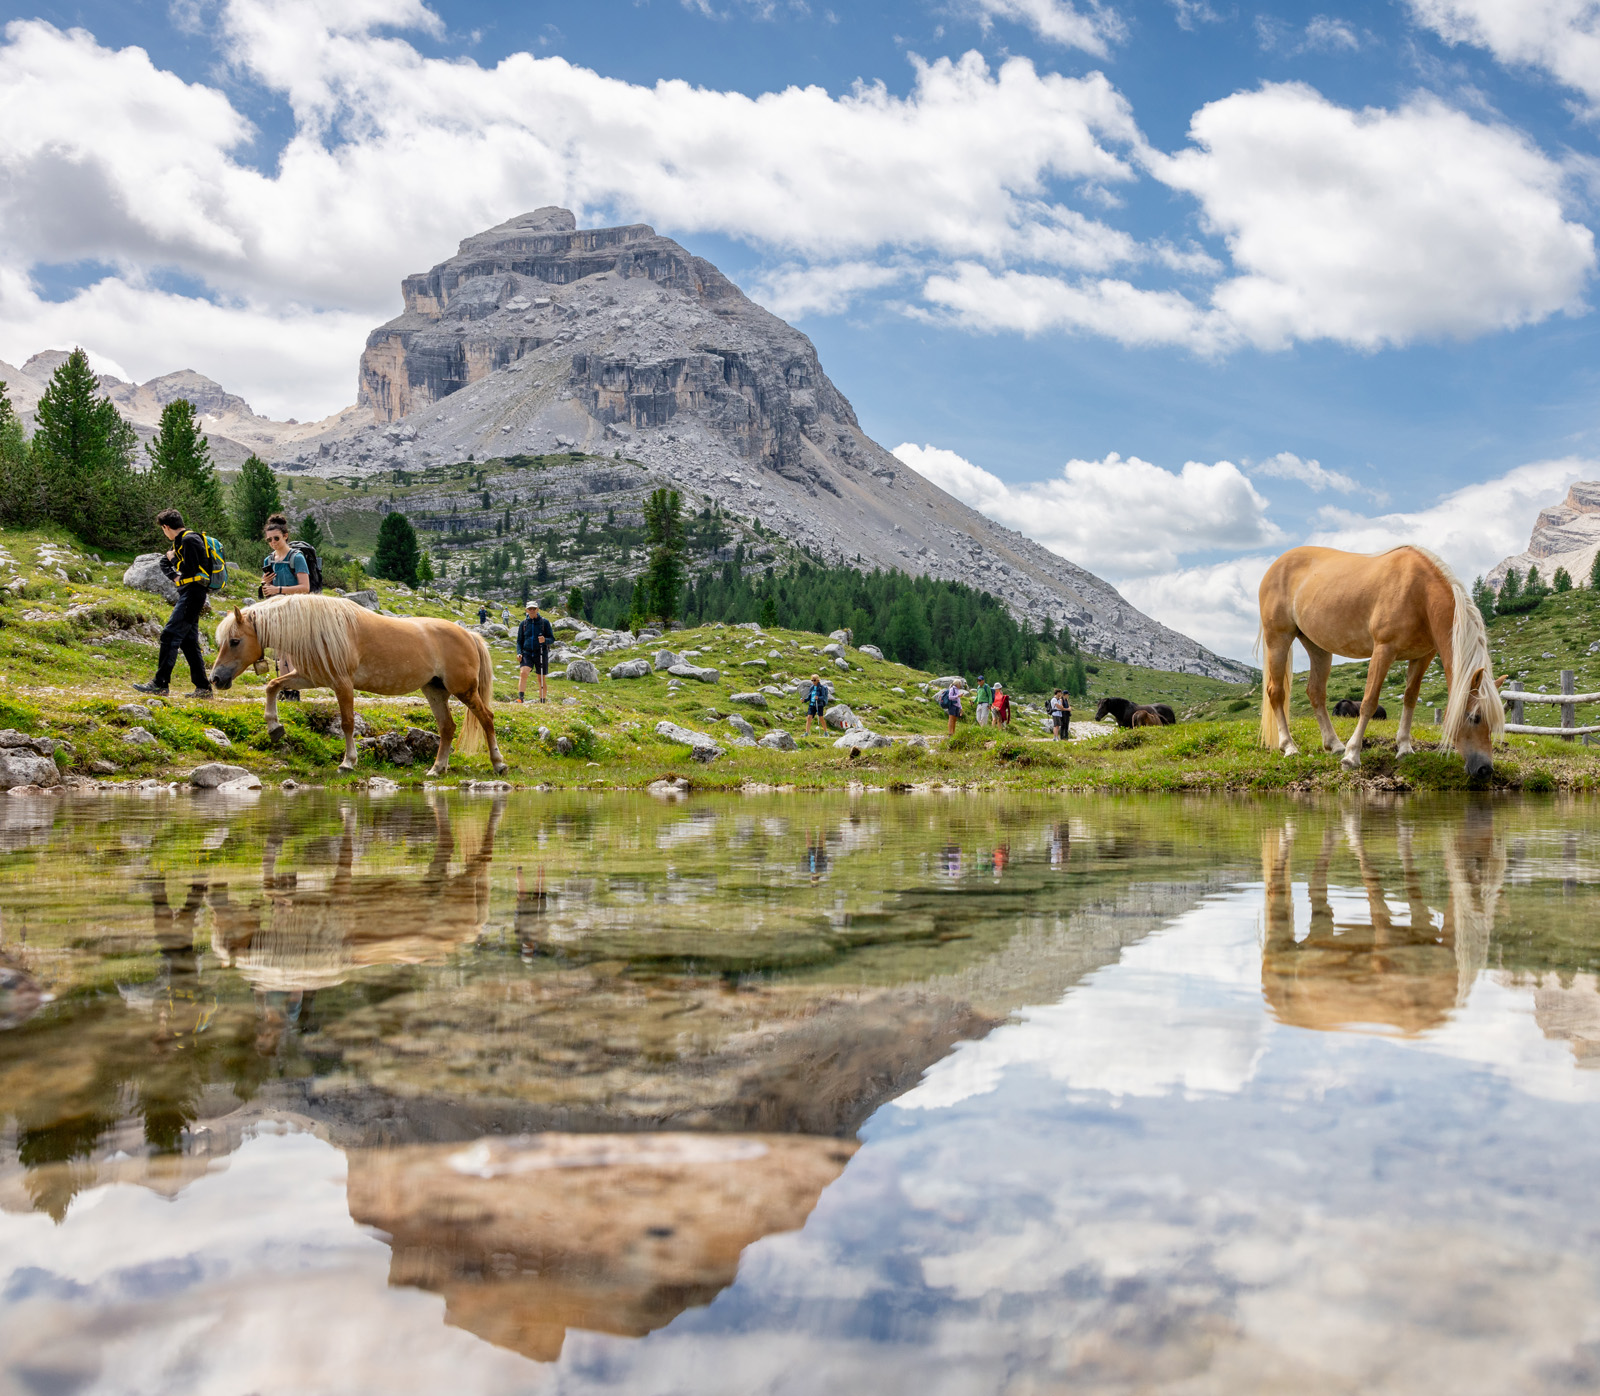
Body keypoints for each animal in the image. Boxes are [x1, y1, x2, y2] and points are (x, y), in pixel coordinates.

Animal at [209, 595, 508, 777]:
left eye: (235, 641)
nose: (215, 679)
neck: (316, 629)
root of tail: (468, 634)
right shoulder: (309, 677)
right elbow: (272, 685)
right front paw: (274, 726)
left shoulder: (342, 684)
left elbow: (347, 723)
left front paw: (348, 762)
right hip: (434, 690)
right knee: (447, 728)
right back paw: (437, 768)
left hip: (464, 691)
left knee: (487, 718)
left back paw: (498, 763)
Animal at [1257, 545, 1503, 777]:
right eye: (1474, 717)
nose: (1484, 769)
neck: (1419, 593)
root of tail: (1276, 565)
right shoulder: (1384, 650)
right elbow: (1369, 702)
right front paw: (1351, 756)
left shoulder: (1422, 656)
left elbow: (1410, 698)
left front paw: (1404, 748)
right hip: (1278, 638)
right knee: (1276, 692)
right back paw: (1290, 747)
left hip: (1318, 647)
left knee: (1316, 692)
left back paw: (1334, 744)